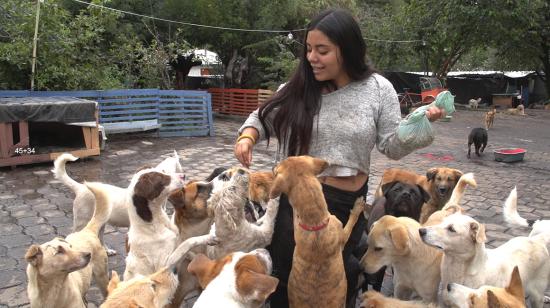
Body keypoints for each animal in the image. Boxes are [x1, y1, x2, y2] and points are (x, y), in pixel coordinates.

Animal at [362, 173, 478, 304]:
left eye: (378, 249)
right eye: (367, 246)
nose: (360, 267)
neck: (408, 263)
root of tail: (447, 210)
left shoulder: (429, 297)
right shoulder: (400, 290)